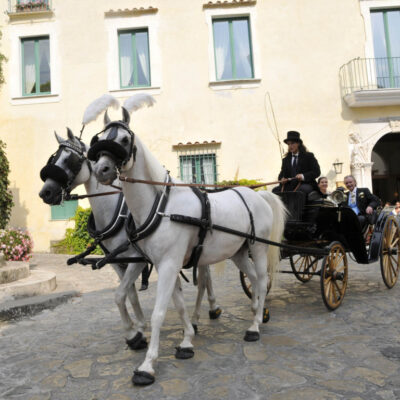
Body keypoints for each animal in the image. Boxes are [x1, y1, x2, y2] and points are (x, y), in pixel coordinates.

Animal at [38, 128, 222, 350]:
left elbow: (119, 295)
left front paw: (133, 334)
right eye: (54, 158)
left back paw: (203, 314)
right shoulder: (117, 262)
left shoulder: (137, 259)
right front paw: (138, 327)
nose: (45, 192)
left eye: (70, 159)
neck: (117, 213)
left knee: (204, 279)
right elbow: (129, 294)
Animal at [89, 95, 286, 386]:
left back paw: (254, 327)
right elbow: (179, 306)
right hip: (238, 252)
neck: (161, 206)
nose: (101, 170)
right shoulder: (162, 265)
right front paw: (186, 341)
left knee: (261, 280)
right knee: (251, 278)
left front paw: (147, 365)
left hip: (258, 248)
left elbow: (159, 313)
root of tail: (257, 194)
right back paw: (256, 313)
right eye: (100, 138)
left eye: (124, 139)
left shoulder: (169, 264)